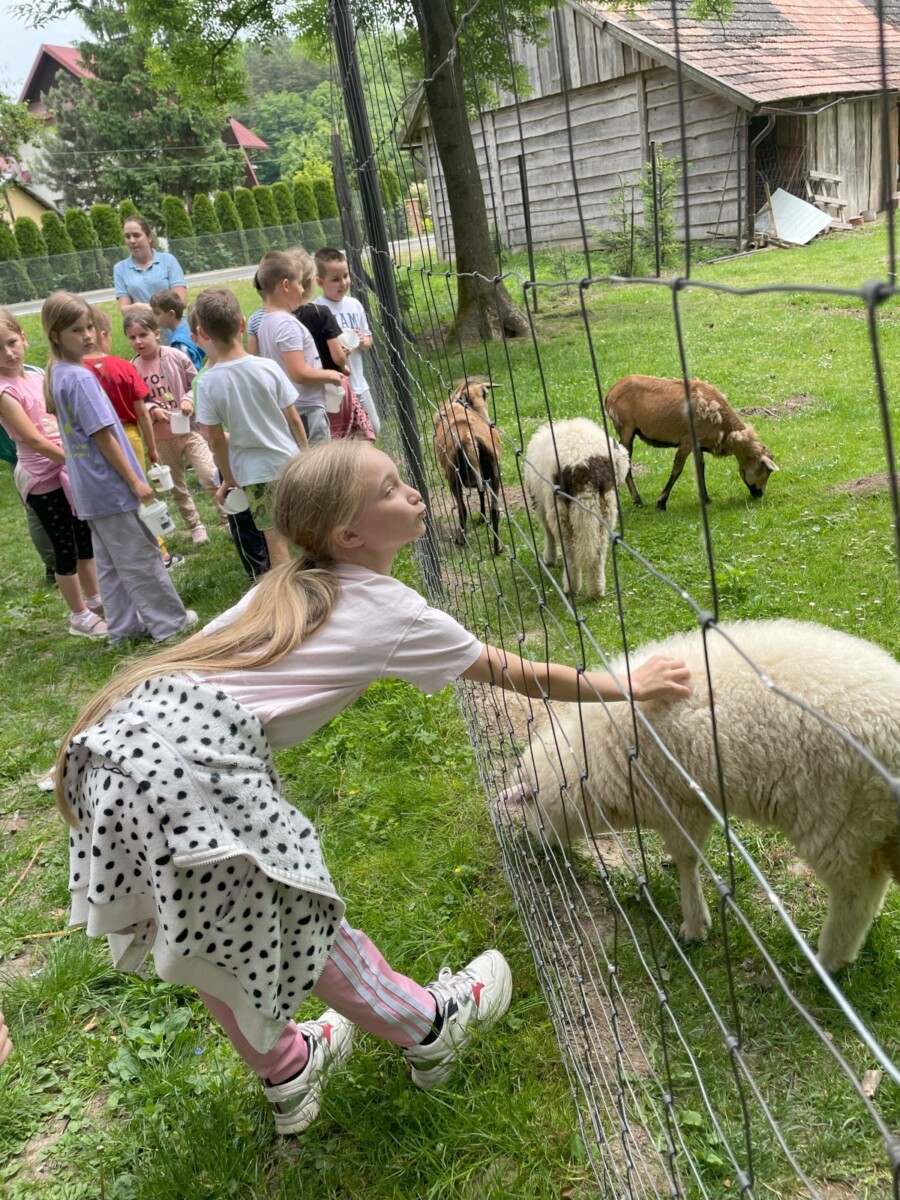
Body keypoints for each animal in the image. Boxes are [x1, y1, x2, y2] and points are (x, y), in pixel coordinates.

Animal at [433, 377, 503, 555]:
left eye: (485, 395)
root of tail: (468, 438)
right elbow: (481, 492)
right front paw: (482, 518)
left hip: (453, 477)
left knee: (462, 509)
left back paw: (461, 540)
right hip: (494, 473)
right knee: (495, 511)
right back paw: (497, 548)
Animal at [513, 619, 900, 972]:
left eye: (531, 809)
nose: (537, 847)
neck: (594, 757)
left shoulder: (679, 804)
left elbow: (688, 860)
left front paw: (694, 923)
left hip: (837, 819)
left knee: (857, 893)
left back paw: (831, 958)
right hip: (866, 826)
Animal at [523, 417, 630, 598]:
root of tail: (582, 463)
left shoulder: (540, 504)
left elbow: (548, 533)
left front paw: (549, 558)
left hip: (559, 510)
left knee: (570, 552)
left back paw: (571, 587)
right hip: (605, 508)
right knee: (598, 552)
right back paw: (596, 590)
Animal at [604, 374, 778, 510]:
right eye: (766, 470)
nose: (760, 494)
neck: (724, 429)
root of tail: (610, 393)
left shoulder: (699, 445)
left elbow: (701, 469)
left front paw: (706, 499)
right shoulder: (687, 441)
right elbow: (677, 471)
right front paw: (661, 503)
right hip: (626, 429)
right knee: (625, 462)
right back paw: (637, 500)